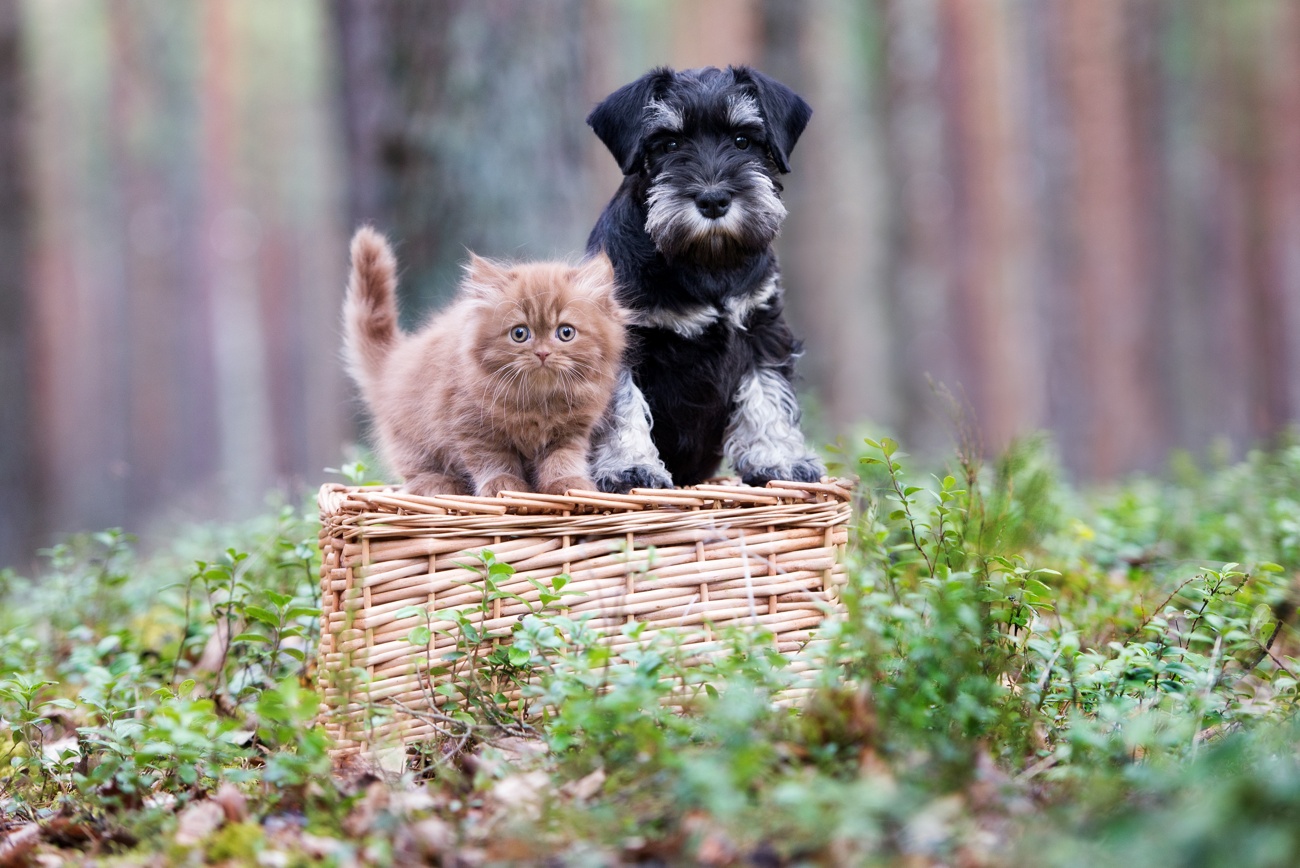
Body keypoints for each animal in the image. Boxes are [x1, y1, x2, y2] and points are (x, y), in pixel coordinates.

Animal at [343, 226, 626, 493]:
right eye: (520, 333)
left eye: (566, 332)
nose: (543, 353)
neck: (538, 402)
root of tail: (394, 360)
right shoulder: (471, 426)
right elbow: (492, 460)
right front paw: (503, 485)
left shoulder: (571, 432)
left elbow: (562, 460)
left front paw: (569, 484)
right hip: (413, 440)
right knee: (416, 474)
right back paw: (441, 485)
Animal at [587, 64, 821, 491]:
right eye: (669, 144)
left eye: (742, 140)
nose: (713, 199)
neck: (705, 261)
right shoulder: (619, 342)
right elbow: (621, 405)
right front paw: (630, 467)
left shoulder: (762, 328)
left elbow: (767, 393)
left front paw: (779, 459)